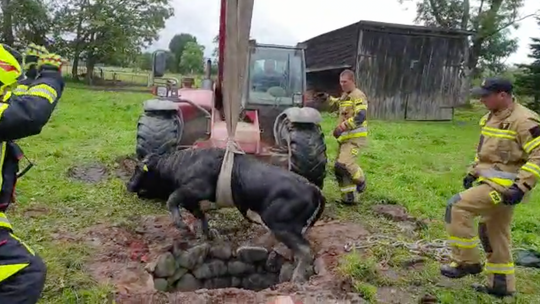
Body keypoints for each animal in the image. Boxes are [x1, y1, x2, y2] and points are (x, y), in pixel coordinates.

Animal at [127, 147, 324, 282]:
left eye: (138, 168)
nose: (128, 184)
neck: (180, 164)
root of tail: (313, 188)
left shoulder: (196, 189)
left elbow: (173, 198)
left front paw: (181, 224)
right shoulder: (193, 199)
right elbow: (200, 214)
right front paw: (207, 233)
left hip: (280, 224)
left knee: (305, 250)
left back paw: (297, 278)